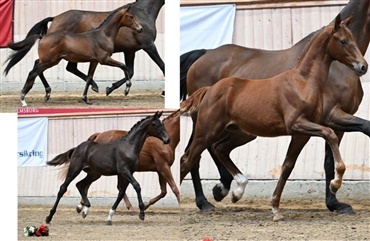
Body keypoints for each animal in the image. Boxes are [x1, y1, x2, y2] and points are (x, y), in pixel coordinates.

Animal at [181, 0, 370, 215]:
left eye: (353, 39)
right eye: (343, 41)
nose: (362, 66)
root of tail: (202, 56)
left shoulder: (328, 123)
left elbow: (313, 160)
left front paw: (333, 200)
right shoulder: (328, 117)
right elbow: (327, 155)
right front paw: (334, 199)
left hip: (239, 131)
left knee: (212, 149)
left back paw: (224, 190)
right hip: (206, 124)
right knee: (193, 154)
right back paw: (206, 200)